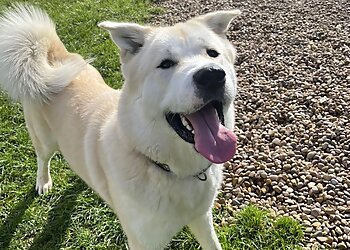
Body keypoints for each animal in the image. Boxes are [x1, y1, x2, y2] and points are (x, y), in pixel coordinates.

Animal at [0, 4, 241, 250]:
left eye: (212, 53)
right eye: (165, 64)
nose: (211, 75)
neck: (169, 168)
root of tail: (53, 60)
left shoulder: (202, 218)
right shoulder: (142, 242)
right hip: (44, 138)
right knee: (42, 158)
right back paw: (43, 182)